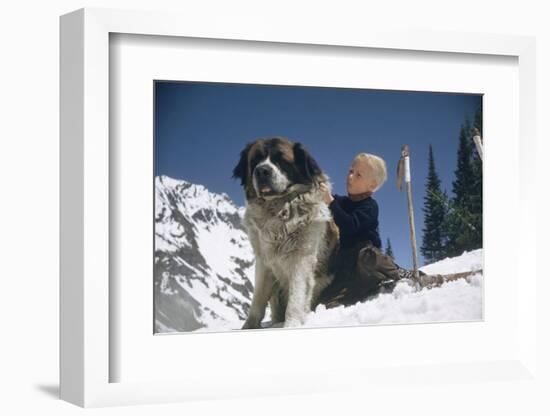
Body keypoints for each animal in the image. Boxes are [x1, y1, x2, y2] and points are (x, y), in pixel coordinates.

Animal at [231, 136, 338, 328]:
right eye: (256, 160)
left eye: (281, 160)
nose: (262, 171)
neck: (279, 209)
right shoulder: (264, 261)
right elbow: (258, 298)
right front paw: (249, 327)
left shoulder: (302, 258)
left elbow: (296, 298)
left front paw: (291, 325)